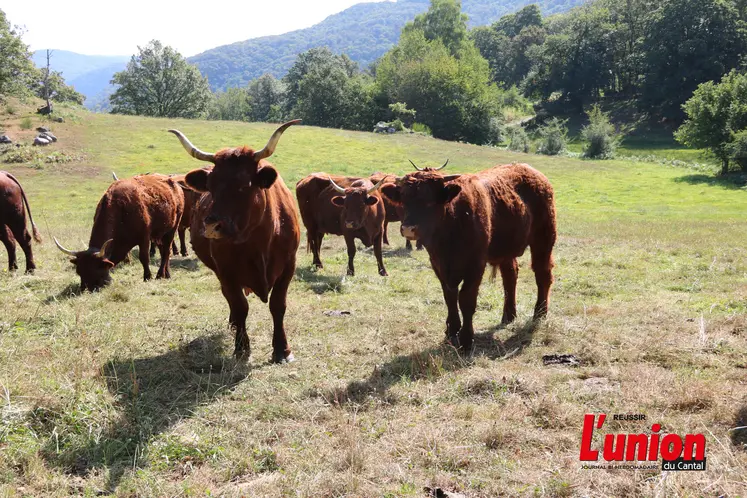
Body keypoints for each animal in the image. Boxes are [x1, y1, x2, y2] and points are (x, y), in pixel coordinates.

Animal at [54, 173, 186, 290]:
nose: (85, 289)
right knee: (164, 251)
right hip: (159, 234)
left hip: (172, 228)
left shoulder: (144, 237)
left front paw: (147, 277)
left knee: (166, 251)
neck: (120, 208)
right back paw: (166, 273)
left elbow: (144, 257)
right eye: (79, 271)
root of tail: (175, 184)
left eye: (96, 270)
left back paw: (160, 274)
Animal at [168, 120, 300, 362]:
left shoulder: (288, 265)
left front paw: (282, 350)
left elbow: (278, 305)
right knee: (230, 299)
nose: (211, 224)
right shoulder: (226, 269)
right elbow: (240, 306)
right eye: (210, 186)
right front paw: (241, 347)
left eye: (244, 185)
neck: (258, 242)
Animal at [382, 162, 560, 350]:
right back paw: (508, 315)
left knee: (543, 275)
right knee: (510, 276)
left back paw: (539, 313)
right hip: (506, 250)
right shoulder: (439, 265)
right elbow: (450, 298)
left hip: (543, 241)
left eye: (430, 201)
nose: (408, 229)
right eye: (403, 200)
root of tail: (533, 172)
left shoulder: (475, 266)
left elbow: (466, 299)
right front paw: (451, 331)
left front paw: (466, 340)